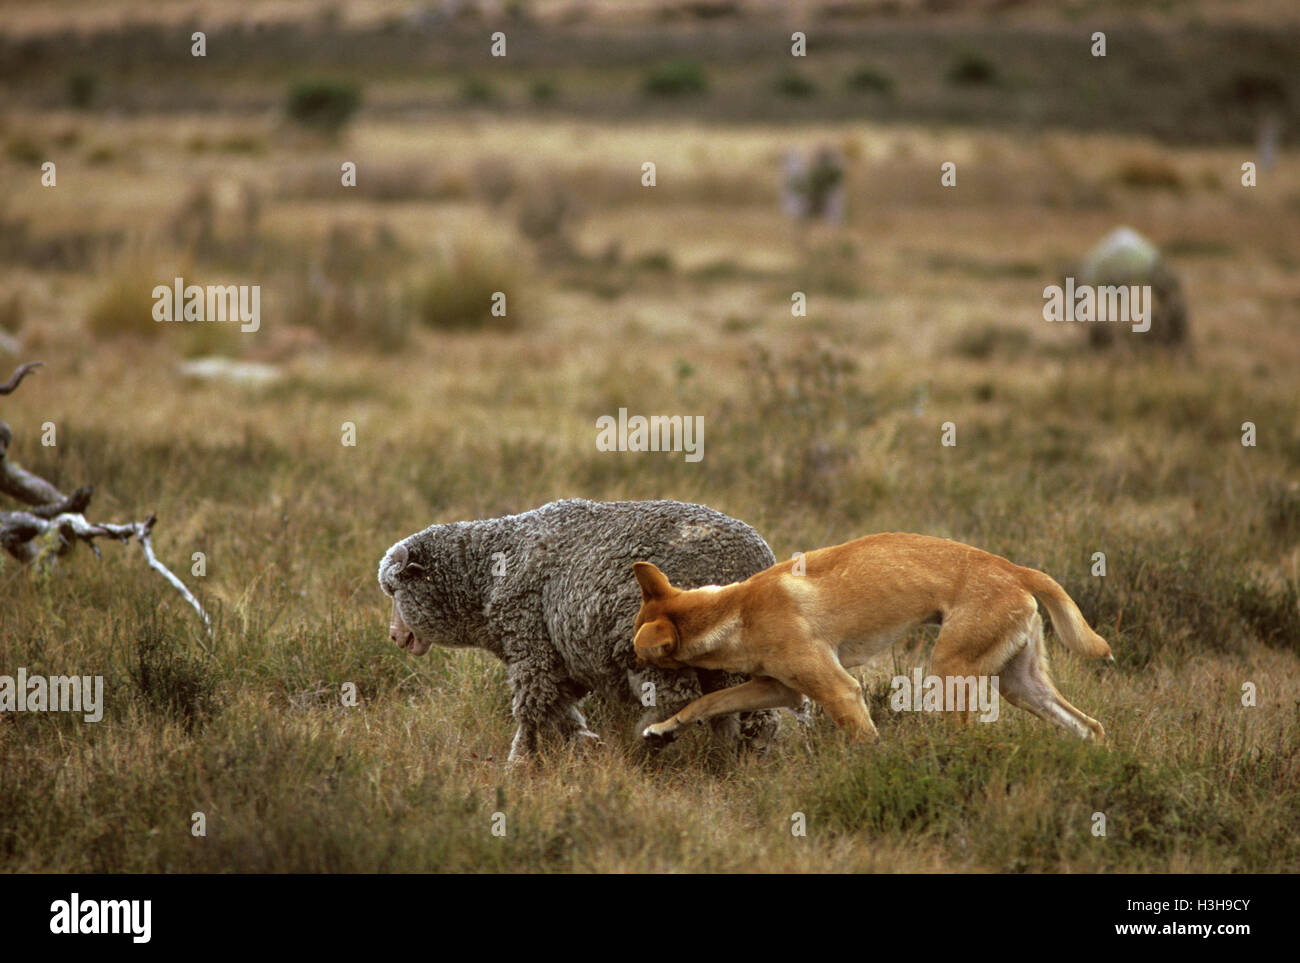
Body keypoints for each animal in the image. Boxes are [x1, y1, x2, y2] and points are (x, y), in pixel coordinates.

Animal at [377, 499, 780, 764]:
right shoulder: (564, 657)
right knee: (755, 713)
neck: (487, 574)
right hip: (734, 658)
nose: (395, 637)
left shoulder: (533, 646)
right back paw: (742, 761)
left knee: (677, 697)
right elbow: (560, 710)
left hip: (650, 643)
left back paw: (648, 740)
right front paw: (584, 743)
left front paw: (519, 764)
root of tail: (746, 560)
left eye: (394, 590)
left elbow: (534, 711)